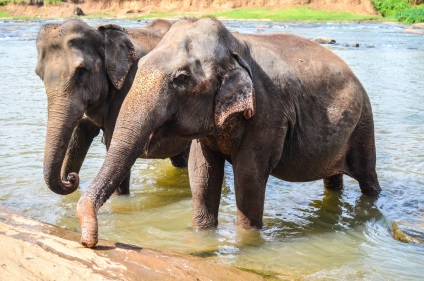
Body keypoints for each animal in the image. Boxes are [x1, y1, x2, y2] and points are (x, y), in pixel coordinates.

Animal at [35, 18, 190, 196]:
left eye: (82, 71)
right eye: (39, 75)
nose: (71, 178)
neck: (99, 33)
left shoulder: (127, 89)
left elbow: (112, 142)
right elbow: (79, 136)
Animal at [73, 17, 380, 246]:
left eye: (181, 79)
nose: (90, 242)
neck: (235, 44)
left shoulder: (268, 112)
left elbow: (249, 175)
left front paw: (247, 240)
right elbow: (202, 171)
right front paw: (202, 235)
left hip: (364, 124)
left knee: (367, 177)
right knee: (333, 180)